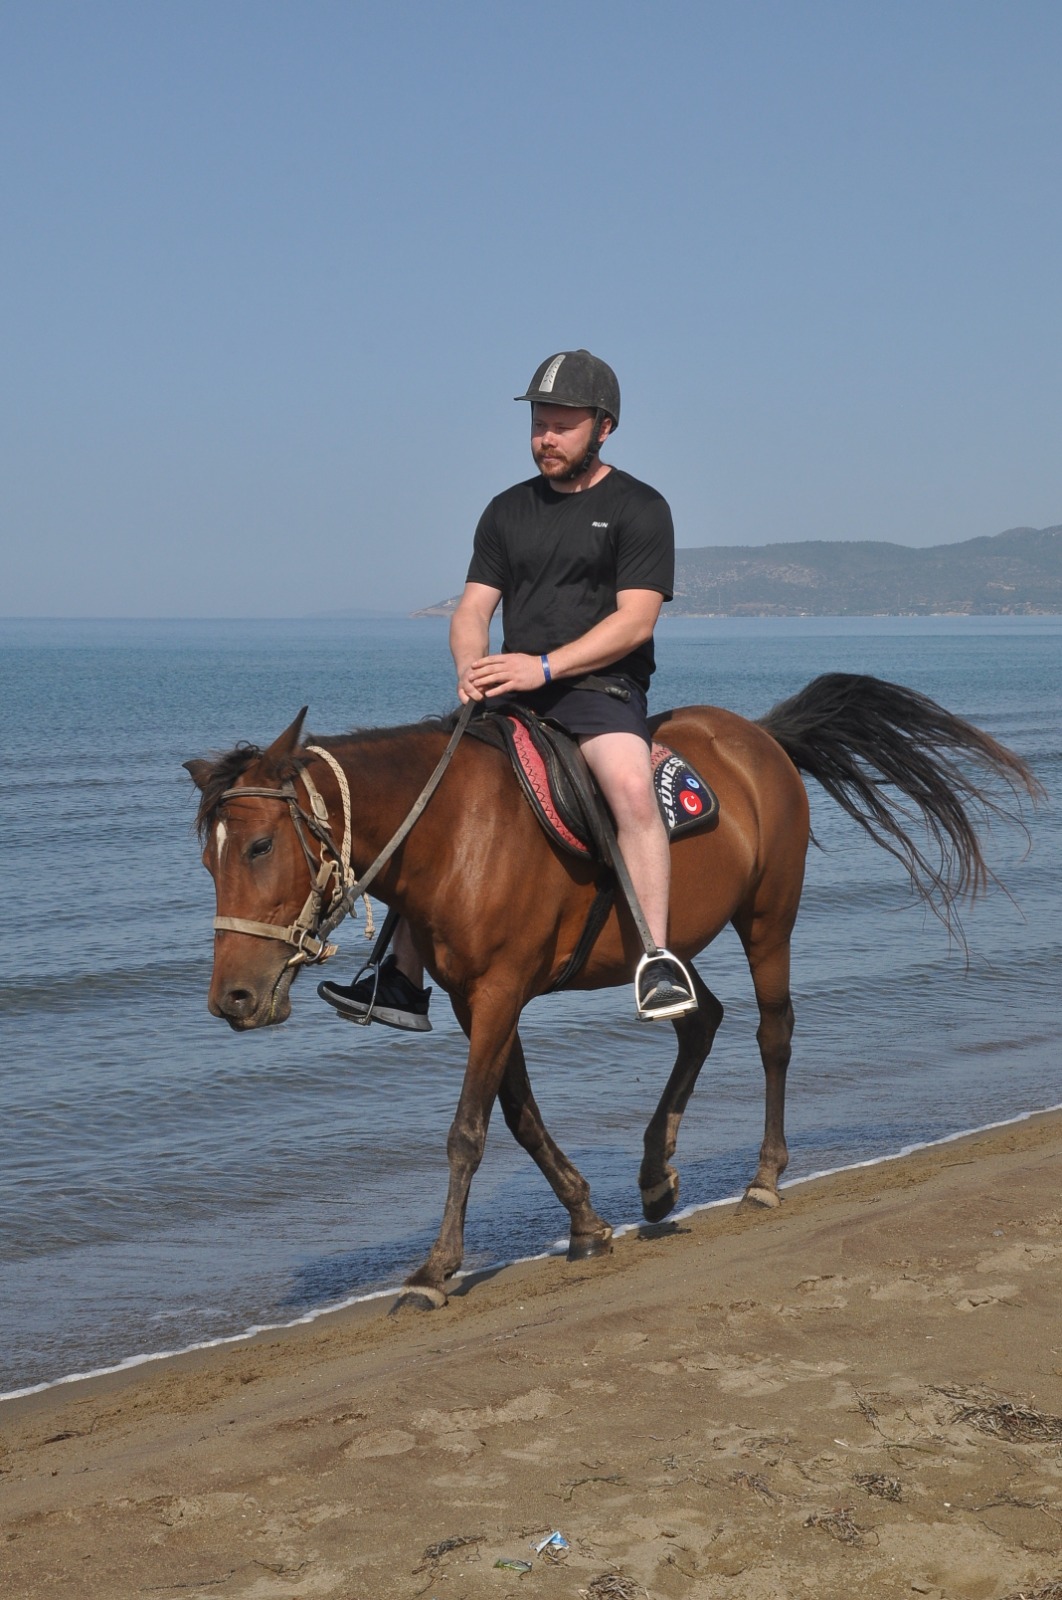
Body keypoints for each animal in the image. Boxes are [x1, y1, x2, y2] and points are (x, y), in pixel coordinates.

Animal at [184, 673, 1039, 1312]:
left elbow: (468, 1130)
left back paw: (764, 1177)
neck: (456, 832)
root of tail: (757, 736)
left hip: (769, 920)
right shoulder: (477, 999)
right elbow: (521, 1118)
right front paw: (588, 1221)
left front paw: (436, 1269)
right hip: (666, 944)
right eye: (207, 860)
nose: (233, 999)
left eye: (258, 846)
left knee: (773, 1034)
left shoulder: (500, 992)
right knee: (701, 1020)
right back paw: (656, 1175)